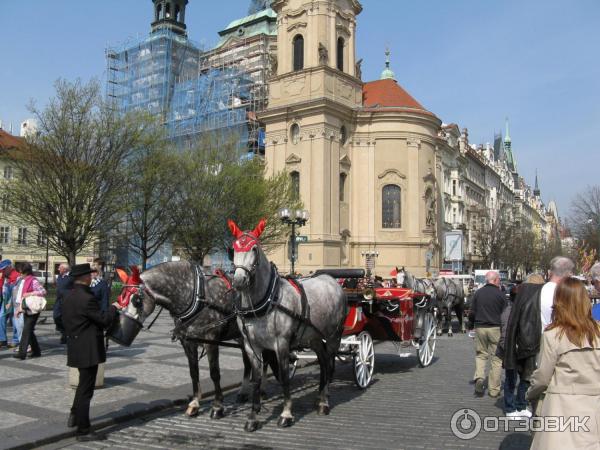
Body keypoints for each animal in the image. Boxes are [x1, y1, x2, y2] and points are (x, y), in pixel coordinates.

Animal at [118, 262, 280, 420]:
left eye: (136, 301)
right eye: (120, 298)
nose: (121, 332)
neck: (195, 293)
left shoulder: (210, 339)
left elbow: (214, 373)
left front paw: (217, 407)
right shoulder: (188, 342)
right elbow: (193, 372)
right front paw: (194, 404)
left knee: (264, 361)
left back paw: (262, 390)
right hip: (242, 337)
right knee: (248, 363)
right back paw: (243, 392)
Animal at [226, 220, 346, 430]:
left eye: (254, 249)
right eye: (233, 249)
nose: (239, 281)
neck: (266, 301)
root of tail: (332, 280)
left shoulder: (281, 344)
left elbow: (284, 377)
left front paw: (286, 413)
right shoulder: (251, 345)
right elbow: (256, 379)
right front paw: (253, 417)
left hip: (333, 336)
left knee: (330, 362)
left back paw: (324, 401)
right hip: (314, 337)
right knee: (323, 361)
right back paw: (319, 397)